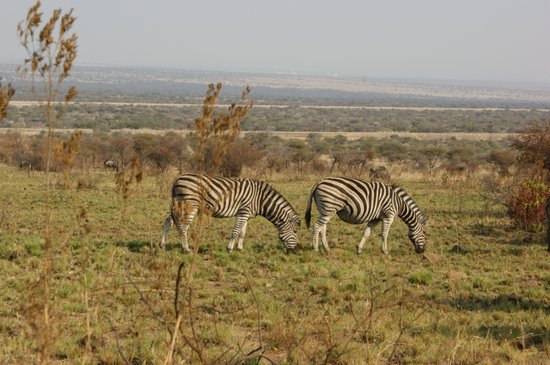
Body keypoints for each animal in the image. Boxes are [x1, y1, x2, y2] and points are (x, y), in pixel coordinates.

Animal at [162, 173, 302, 253]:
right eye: (295, 231)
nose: (297, 251)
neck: (261, 199)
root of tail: (178, 178)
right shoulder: (243, 211)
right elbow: (235, 231)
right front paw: (229, 249)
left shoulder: (247, 215)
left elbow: (242, 233)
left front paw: (239, 249)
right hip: (189, 204)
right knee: (183, 227)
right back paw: (186, 249)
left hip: (177, 203)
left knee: (168, 222)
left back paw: (162, 245)